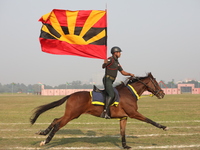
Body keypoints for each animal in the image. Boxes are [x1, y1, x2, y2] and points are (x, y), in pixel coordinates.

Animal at [29, 72, 167, 149]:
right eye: (156, 83)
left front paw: (125, 146)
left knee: (55, 120)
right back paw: (45, 141)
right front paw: (163, 127)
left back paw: (43, 132)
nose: (162, 94)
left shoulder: (123, 117)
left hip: (71, 114)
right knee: (58, 125)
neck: (129, 93)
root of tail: (71, 94)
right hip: (72, 115)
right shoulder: (133, 113)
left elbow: (122, 132)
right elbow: (149, 120)